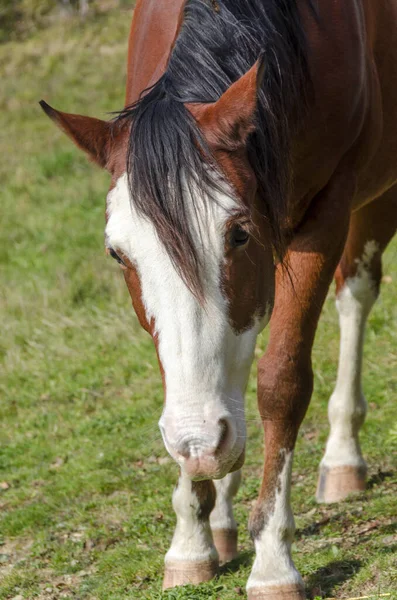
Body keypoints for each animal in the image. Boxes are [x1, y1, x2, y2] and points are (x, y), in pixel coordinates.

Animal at [39, 1, 396, 600]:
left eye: (238, 234)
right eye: (117, 253)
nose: (198, 442)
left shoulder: (325, 210)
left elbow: (281, 380)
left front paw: (272, 559)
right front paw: (193, 536)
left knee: (357, 291)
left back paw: (342, 456)